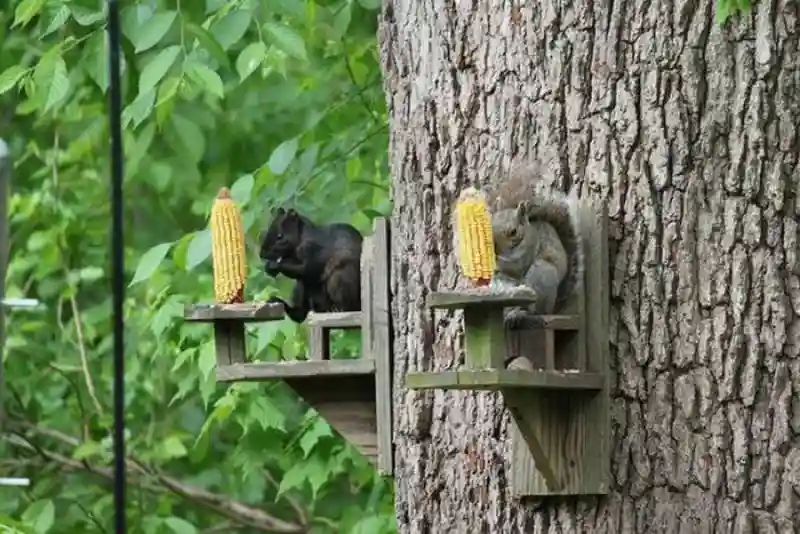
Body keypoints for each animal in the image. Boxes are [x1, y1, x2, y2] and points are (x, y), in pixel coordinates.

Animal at [484, 168, 584, 328]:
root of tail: (552, 308)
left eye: (513, 232)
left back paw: (519, 314)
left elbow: (518, 265)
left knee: (533, 310)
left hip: (541, 276)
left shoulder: (529, 249)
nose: (494, 250)